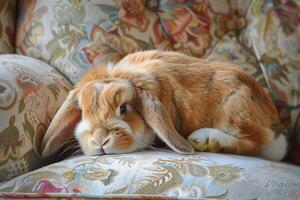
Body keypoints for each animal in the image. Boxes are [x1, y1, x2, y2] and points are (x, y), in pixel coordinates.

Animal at [41, 50, 288, 161]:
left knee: (252, 144)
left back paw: (204, 139)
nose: (101, 140)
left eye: (123, 108)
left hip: (234, 109)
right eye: (83, 112)